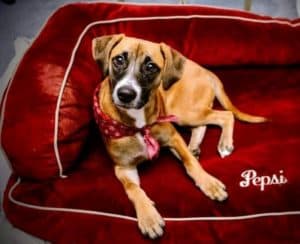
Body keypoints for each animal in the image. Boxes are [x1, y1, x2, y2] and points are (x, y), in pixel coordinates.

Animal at [91, 34, 264, 238]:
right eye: (118, 60)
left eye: (151, 66)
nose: (125, 94)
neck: (139, 124)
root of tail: (205, 70)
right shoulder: (123, 168)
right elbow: (134, 190)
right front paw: (148, 217)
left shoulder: (174, 137)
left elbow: (191, 163)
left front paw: (208, 183)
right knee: (204, 125)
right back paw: (195, 146)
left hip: (182, 112)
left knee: (225, 115)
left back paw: (223, 144)